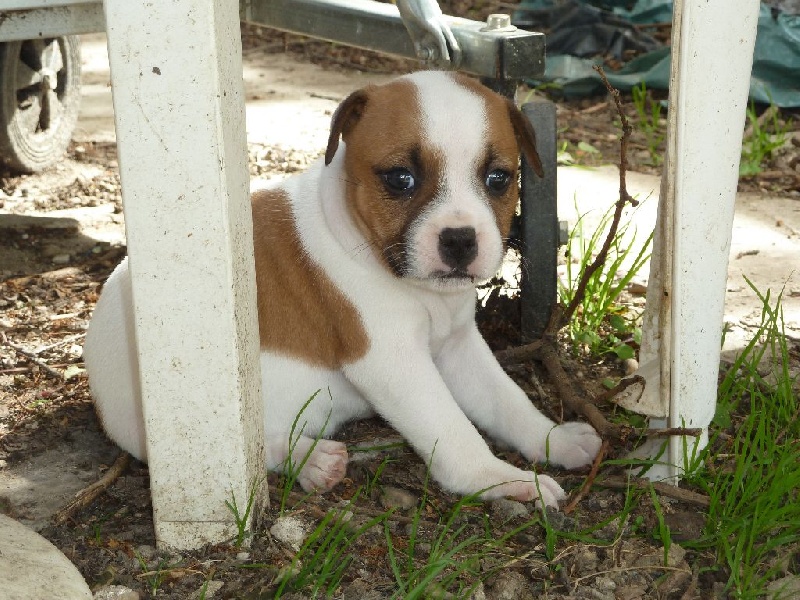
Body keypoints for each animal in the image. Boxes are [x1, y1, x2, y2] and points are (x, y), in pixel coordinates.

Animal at [83, 71, 601, 508]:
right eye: (400, 178)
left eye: (498, 178)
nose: (459, 239)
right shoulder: (393, 363)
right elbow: (454, 429)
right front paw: (501, 480)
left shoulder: (458, 347)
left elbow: (507, 400)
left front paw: (553, 439)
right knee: (250, 450)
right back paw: (311, 461)